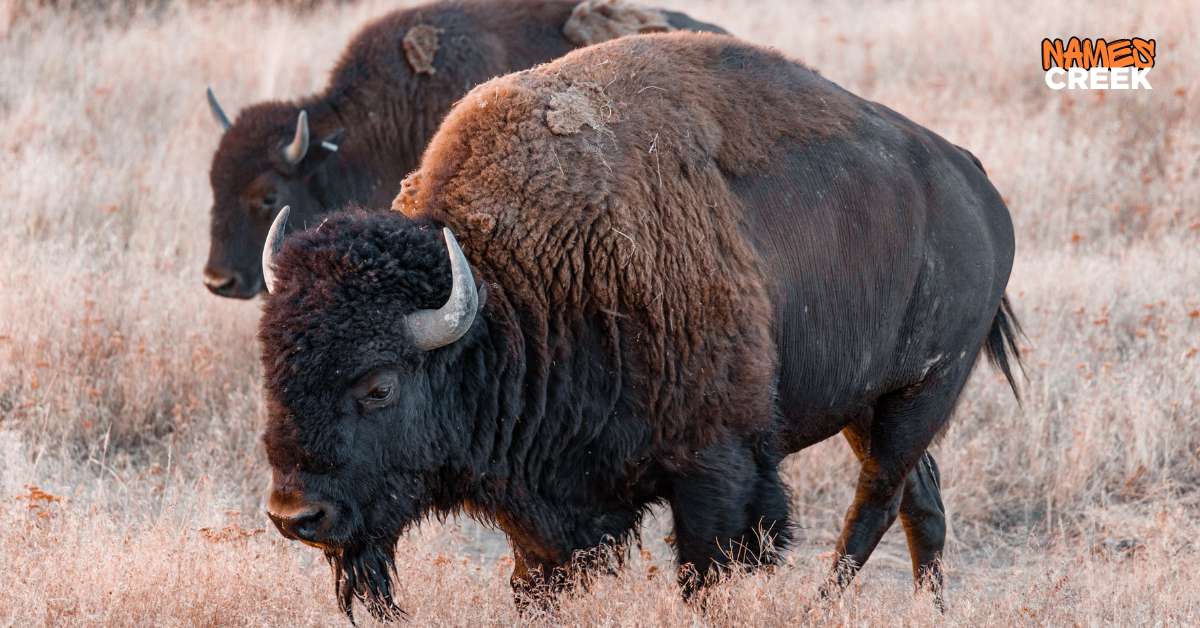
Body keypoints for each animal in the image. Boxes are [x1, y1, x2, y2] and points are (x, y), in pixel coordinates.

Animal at [257, 32, 1022, 620]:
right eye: (272, 370)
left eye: (379, 386)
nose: (296, 516)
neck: (514, 287)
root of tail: (975, 183)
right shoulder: (548, 513)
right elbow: (537, 581)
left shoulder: (719, 471)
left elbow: (708, 574)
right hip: (869, 404)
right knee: (921, 501)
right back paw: (931, 608)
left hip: (921, 393)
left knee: (877, 501)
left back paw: (820, 606)